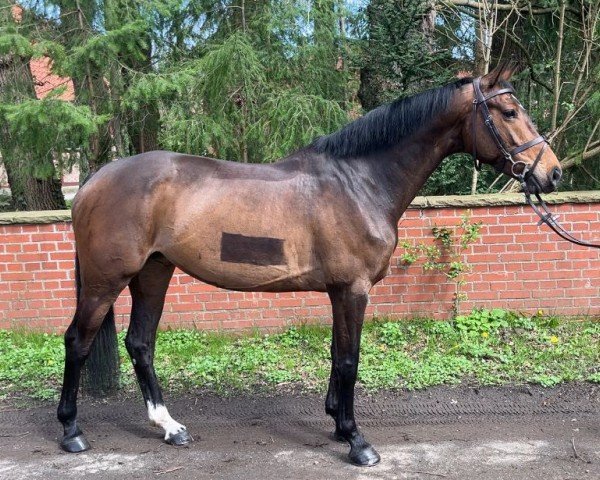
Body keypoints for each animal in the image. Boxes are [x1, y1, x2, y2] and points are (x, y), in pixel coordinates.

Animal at [57, 63, 564, 464]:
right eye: (509, 112)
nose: (552, 172)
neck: (360, 182)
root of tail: (93, 182)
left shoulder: (340, 291)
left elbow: (338, 357)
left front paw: (338, 424)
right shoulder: (353, 289)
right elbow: (350, 360)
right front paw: (358, 442)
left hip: (154, 272)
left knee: (140, 343)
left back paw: (170, 427)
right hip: (106, 280)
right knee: (78, 341)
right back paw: (72, 432)